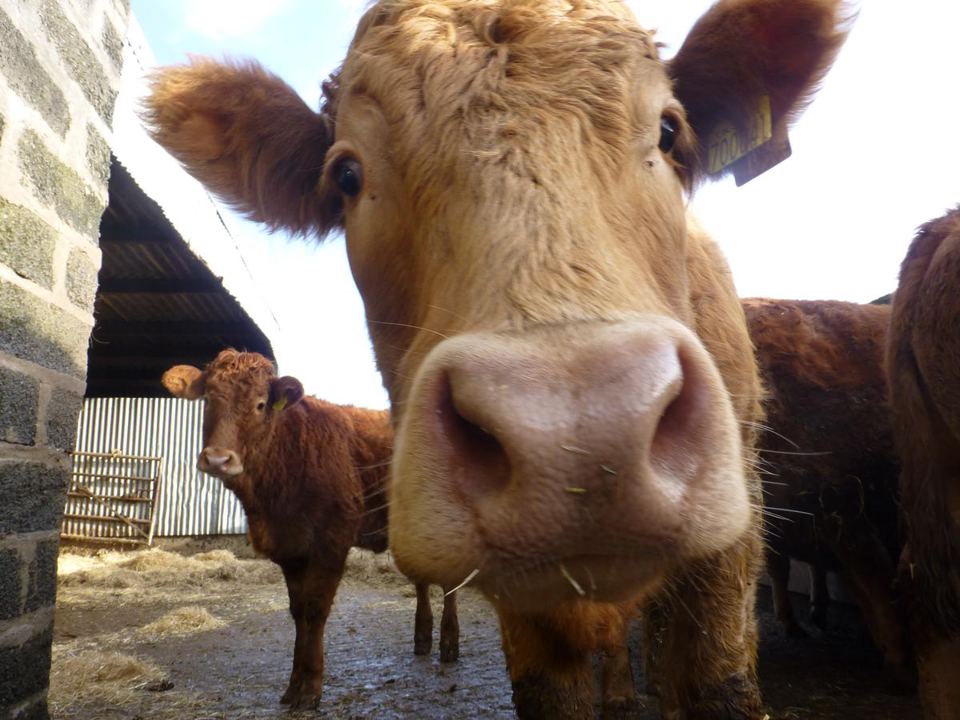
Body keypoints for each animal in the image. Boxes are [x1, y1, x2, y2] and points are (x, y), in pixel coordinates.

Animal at [161, 350, 459, 710]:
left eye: (261, 404)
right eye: (207, 399)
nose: (218, 459)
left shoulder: (331, 542)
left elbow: (316, 610)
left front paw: (311, 690)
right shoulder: (290, 549)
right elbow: (298, 612)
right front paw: (293, 687)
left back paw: (449, 644)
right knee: (421, 579)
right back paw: (422, 638)